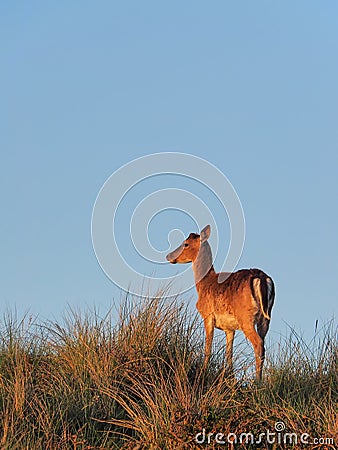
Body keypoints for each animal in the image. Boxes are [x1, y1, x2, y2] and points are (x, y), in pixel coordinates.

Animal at [166, 225, 274, 380]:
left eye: (185, 243)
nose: (168, 256)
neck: (203, 284)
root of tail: (262, 278)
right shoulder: (229, 328)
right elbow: (229, 353)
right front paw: (230, 377)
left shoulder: (208, 315)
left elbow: (208, 347)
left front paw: (204, 371)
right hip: (266, 318)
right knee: (263, 343)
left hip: (246, 317)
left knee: (258, 343)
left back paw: (257, 381)